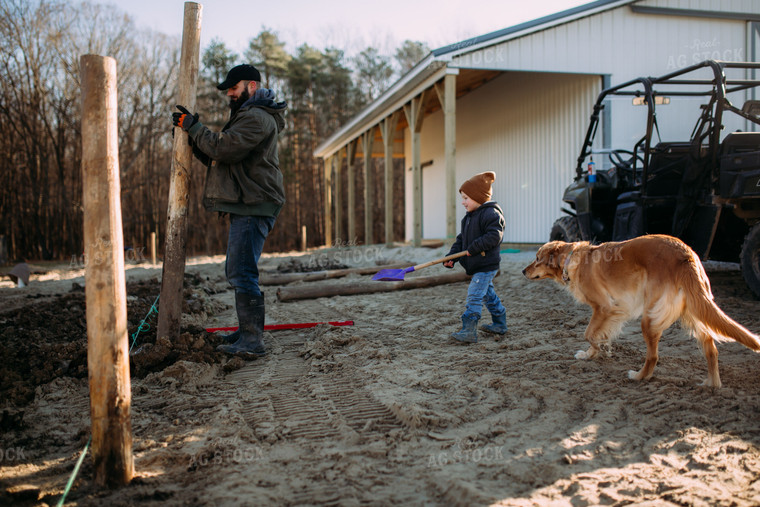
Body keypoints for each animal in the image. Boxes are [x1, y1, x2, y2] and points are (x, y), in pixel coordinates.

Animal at [524, 235, 760, 388]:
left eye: (536, 258)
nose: (523, 271)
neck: (573, 260)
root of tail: (687, 255)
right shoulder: (610, 313)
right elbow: (598, 335)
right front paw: (592, 354)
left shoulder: (604, 307)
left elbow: (589, 334)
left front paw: (601, 350)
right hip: (694, 314)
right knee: (712, 350)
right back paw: (711, 384)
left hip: (649, 319)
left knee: (653, 356)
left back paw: (639, 377)